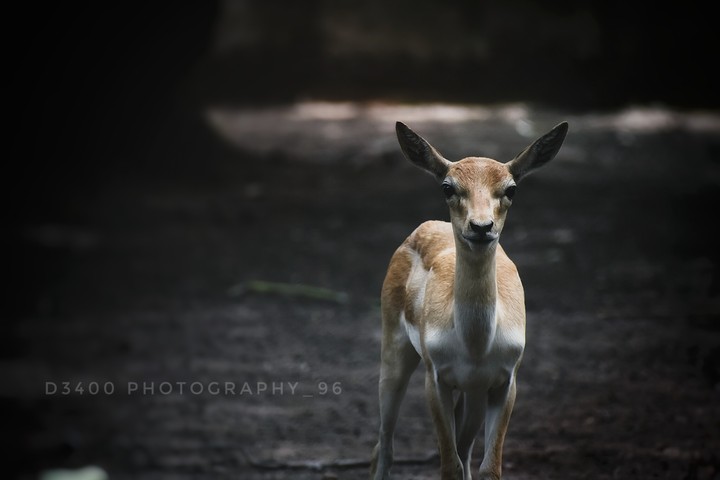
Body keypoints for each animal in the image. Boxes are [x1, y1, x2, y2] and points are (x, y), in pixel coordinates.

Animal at [370, 121, 569, 480]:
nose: (481, 227)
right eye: (447, 187)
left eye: (511, 189)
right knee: (384, 444)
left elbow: (488, 468)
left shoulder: (503, 383)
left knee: (462, 452)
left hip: (471, 396)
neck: (476, 343)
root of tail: (423, 229)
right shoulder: (436, 380)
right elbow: (449, 466)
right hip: (395, 355)